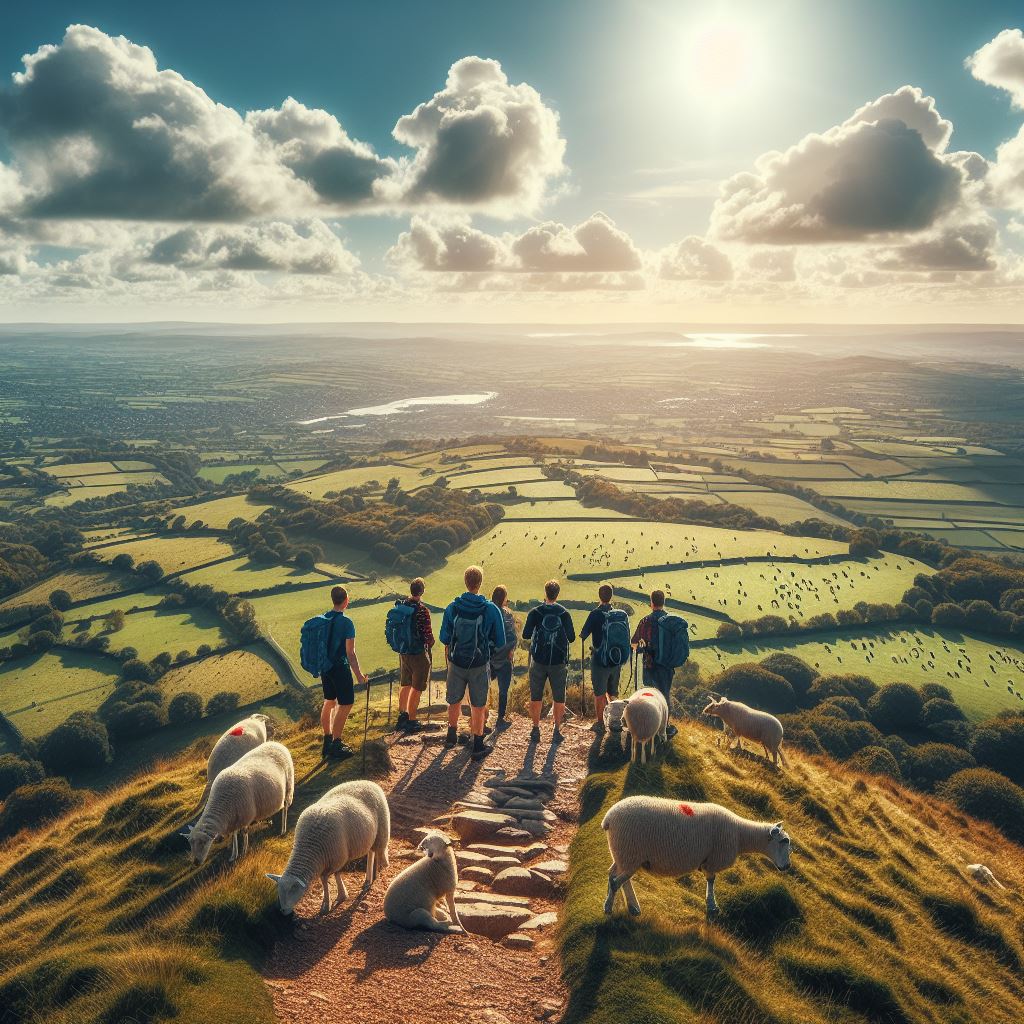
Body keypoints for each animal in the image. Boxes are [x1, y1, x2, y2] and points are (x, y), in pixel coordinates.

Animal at [266, 778, 389, 917]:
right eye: (279, 891)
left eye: (293, 891)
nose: (282, 911)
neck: (309, 847)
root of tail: (367, 782)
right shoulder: (331, 859)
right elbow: (330, 876)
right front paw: (338, 897)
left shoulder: (337, 858)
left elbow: (327, 878)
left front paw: (330, 903)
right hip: (369, 837)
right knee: (371, 852)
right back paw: (368, 879)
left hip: (381, 832)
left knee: (378, 852)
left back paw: (376, 873)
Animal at [598, 790, 790, 921]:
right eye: (783, 841)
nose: (787, 867)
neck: (740, 834)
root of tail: (608, 819)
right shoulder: (712, 860)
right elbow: (711, 880)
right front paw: (712, 906)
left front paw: (711, 905)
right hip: (630, 852)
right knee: (617, 881)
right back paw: (609, 907)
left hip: (622, 854)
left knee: (614, 875)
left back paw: (630, 907)